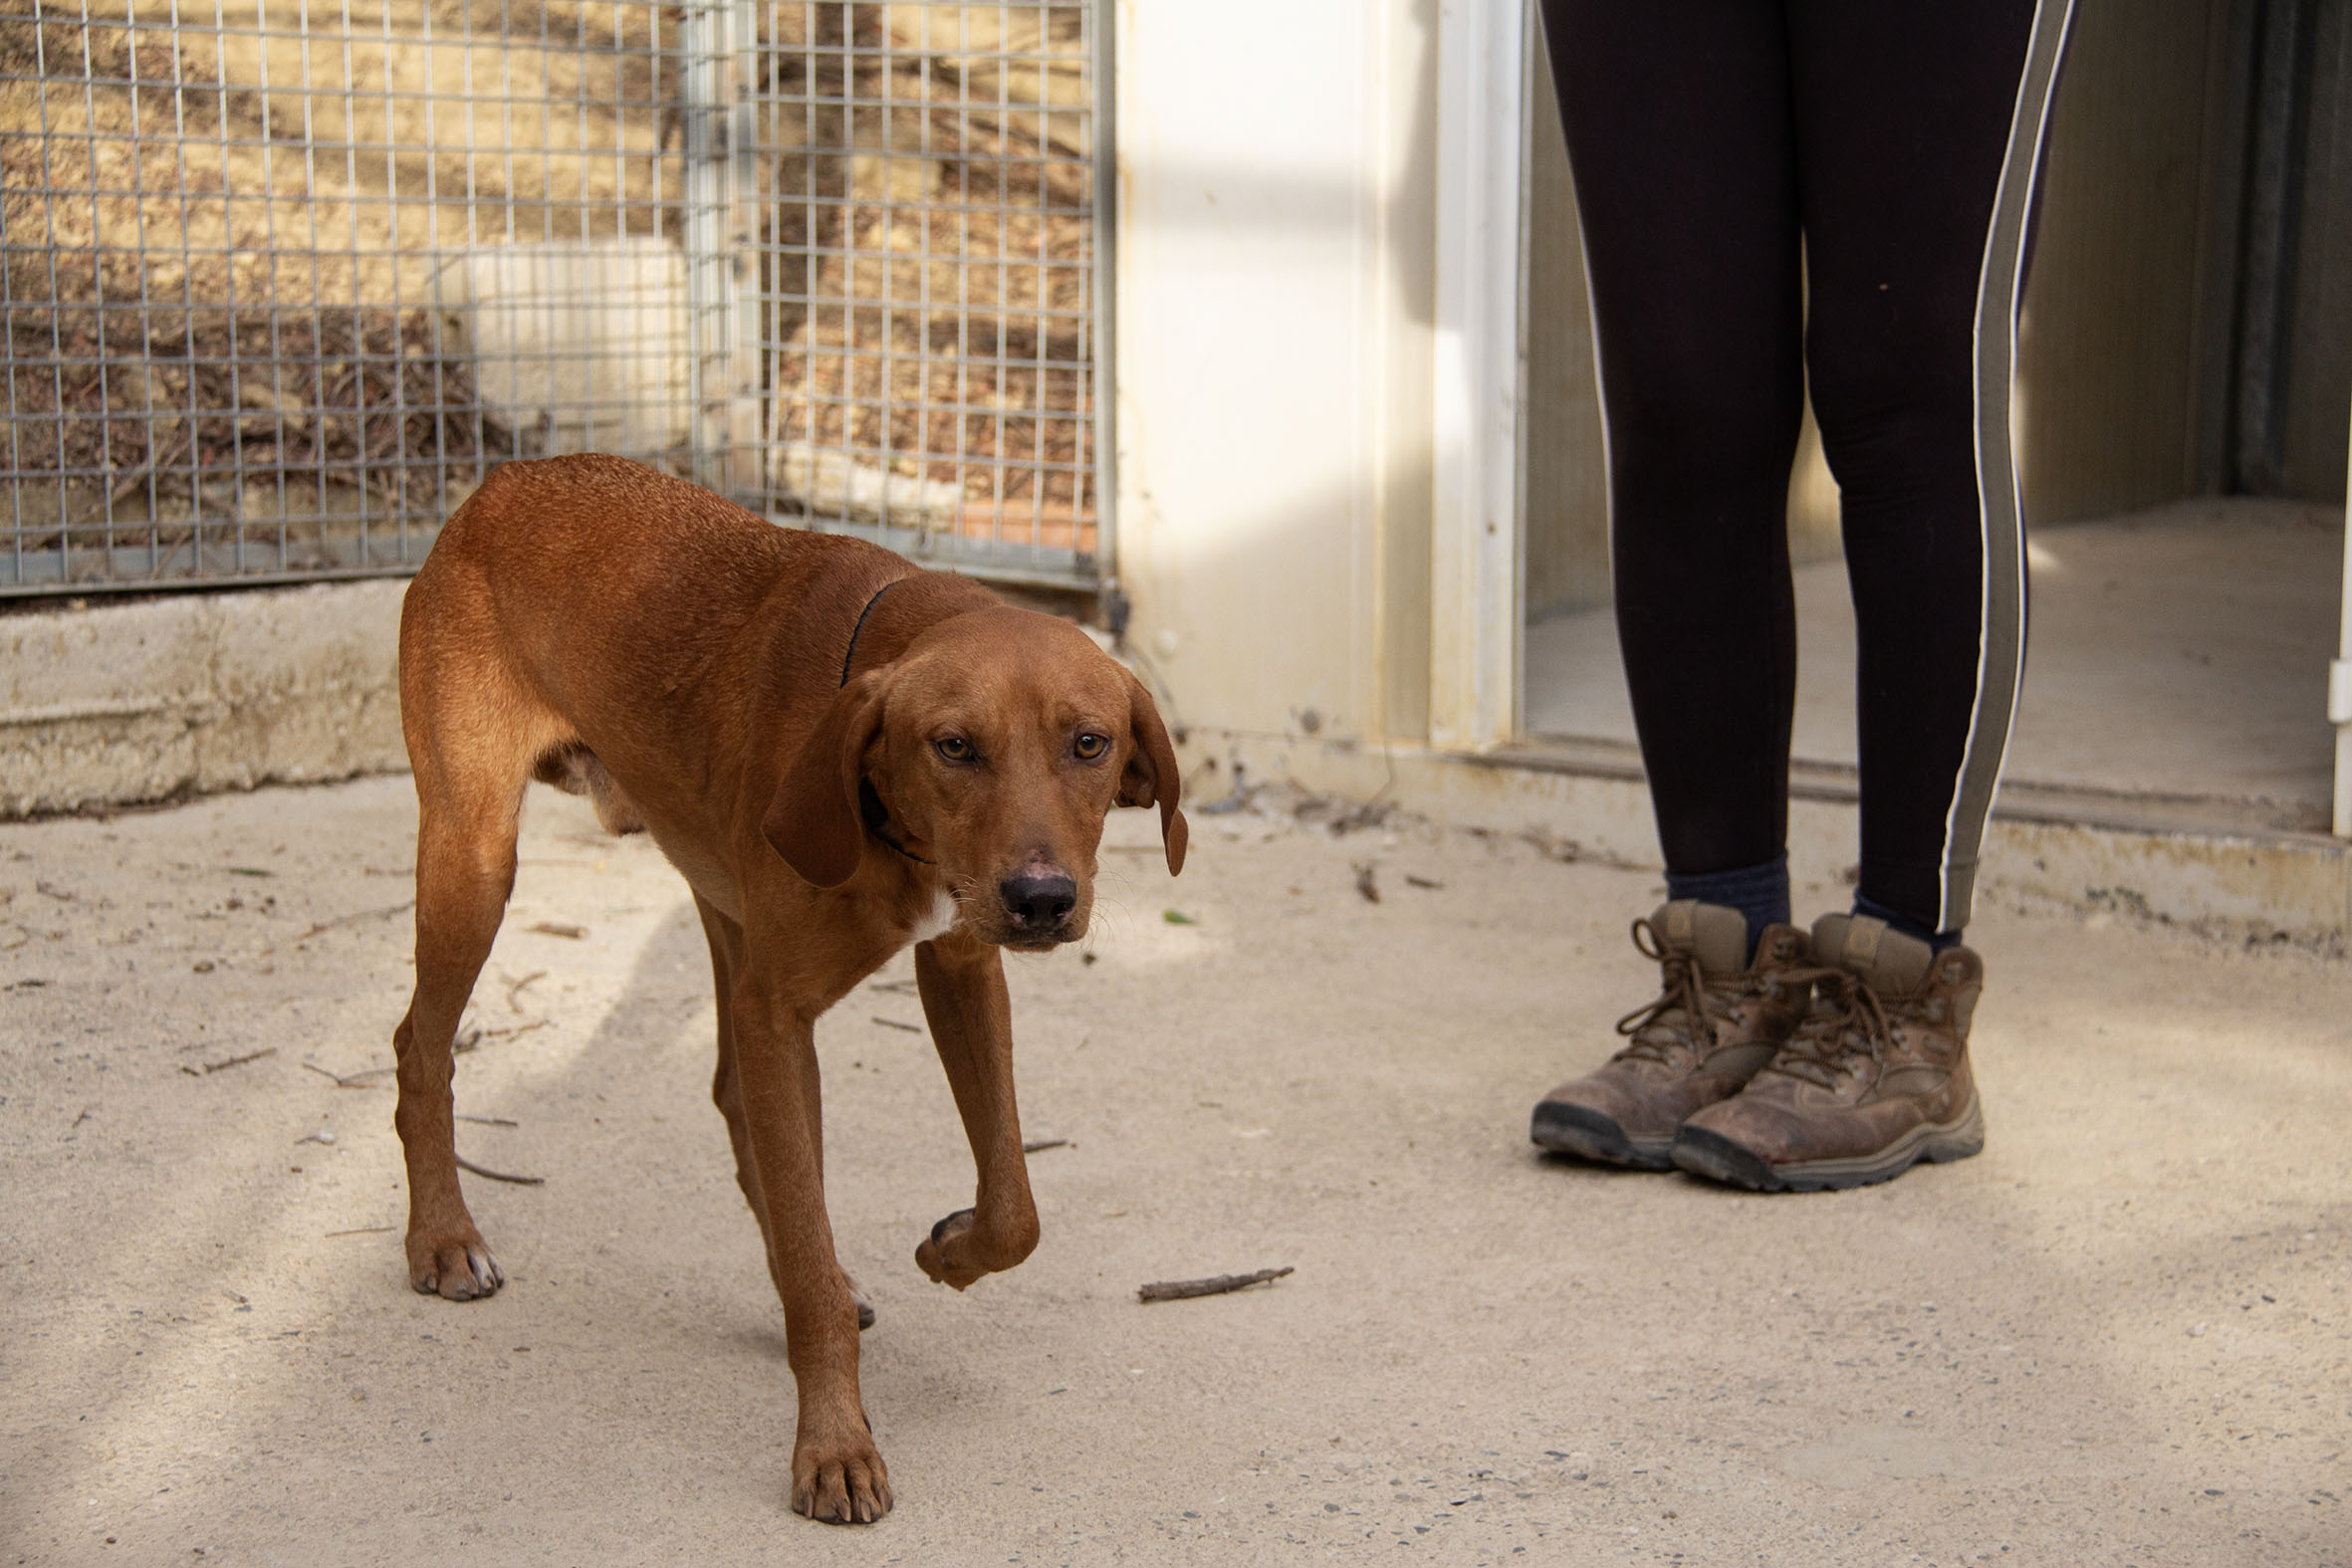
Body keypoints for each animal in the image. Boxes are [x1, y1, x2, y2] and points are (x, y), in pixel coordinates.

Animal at [389, 453, 1186, 1523]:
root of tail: (501, 482)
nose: (1041, 902)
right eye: (954, 745)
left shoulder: (960, 966)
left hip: (719, 914)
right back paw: (442, 1238)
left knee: (734, 1096)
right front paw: (834, 1446)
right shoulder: (783, 1013)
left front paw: (952, 1251)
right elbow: (812, 1253)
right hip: (476, 857)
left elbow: (1015, 1204)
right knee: (420, 1047)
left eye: (1089, 743)